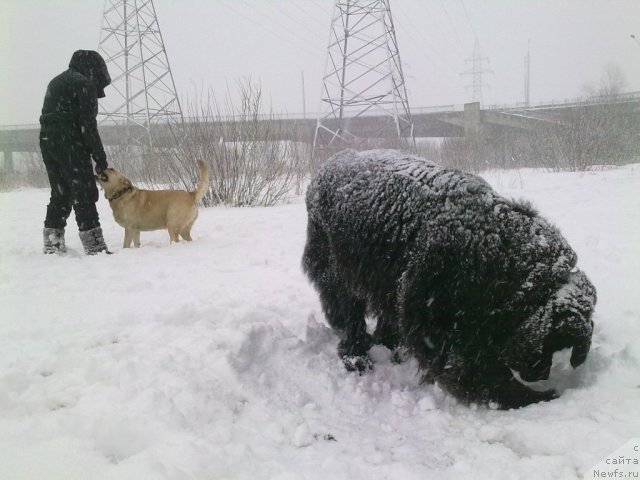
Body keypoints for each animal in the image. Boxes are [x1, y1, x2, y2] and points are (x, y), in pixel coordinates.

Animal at [302, 149, 596, 408]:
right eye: (553, 343)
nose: (542, 374)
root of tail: (323, 169)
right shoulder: (438, 317)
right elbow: (474, 368)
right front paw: (523, 396)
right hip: (340, 268)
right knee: (349, 313)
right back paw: (356, 356)